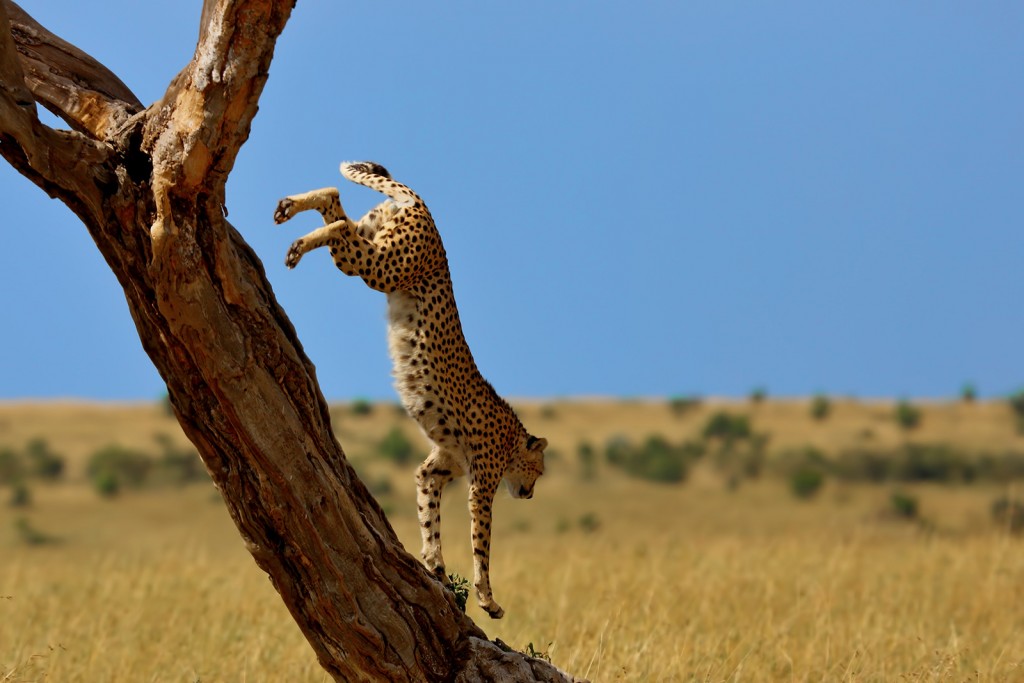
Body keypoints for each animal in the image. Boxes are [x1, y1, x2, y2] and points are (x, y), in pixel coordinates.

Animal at [272, 161, 544, 618]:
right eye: (539, 471)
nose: (530, 494)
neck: (511, 440)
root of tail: (424, 208)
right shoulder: (481, 486)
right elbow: (482, 544)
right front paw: (487, 598)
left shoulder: (436, 469)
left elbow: (428, 516)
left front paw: (435, 566)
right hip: (384, 265)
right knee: (340, 226)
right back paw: (298, 239)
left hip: (376, 241)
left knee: (336, 204)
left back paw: (290, 210)